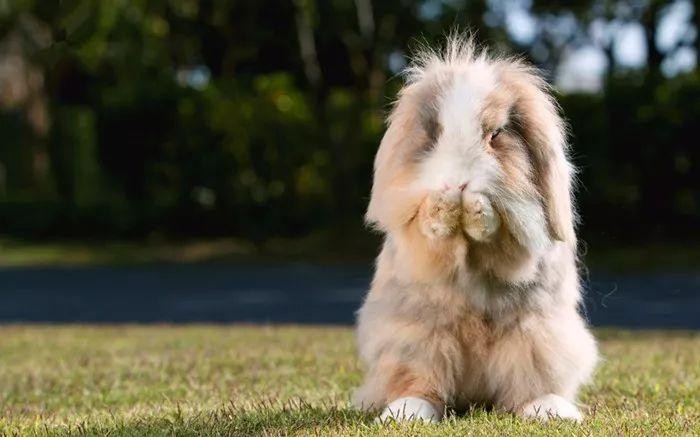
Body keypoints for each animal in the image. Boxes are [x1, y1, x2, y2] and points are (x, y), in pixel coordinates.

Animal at [356, 35, 596, 424]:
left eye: (495, 134)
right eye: (434, 134)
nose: (458, 183)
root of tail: (474, 394)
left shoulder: (523, 240)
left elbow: (502, 236)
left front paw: (477, 210)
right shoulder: (417, 243)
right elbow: (428, 235)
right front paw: (444, 208)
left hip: (539, 336)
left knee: (527, 382)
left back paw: (547, 408)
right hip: (413, 339)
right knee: (419, 380)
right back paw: (407, 411)